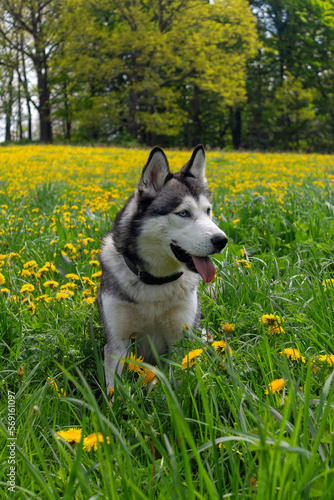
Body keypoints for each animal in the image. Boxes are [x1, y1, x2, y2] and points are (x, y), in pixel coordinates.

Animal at [98, 145, 227, 390]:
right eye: (183, 213)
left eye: (208, 211)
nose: (222, 240)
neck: (155, 282)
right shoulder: (117, 344)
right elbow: (114, 393)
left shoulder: (180, 341)